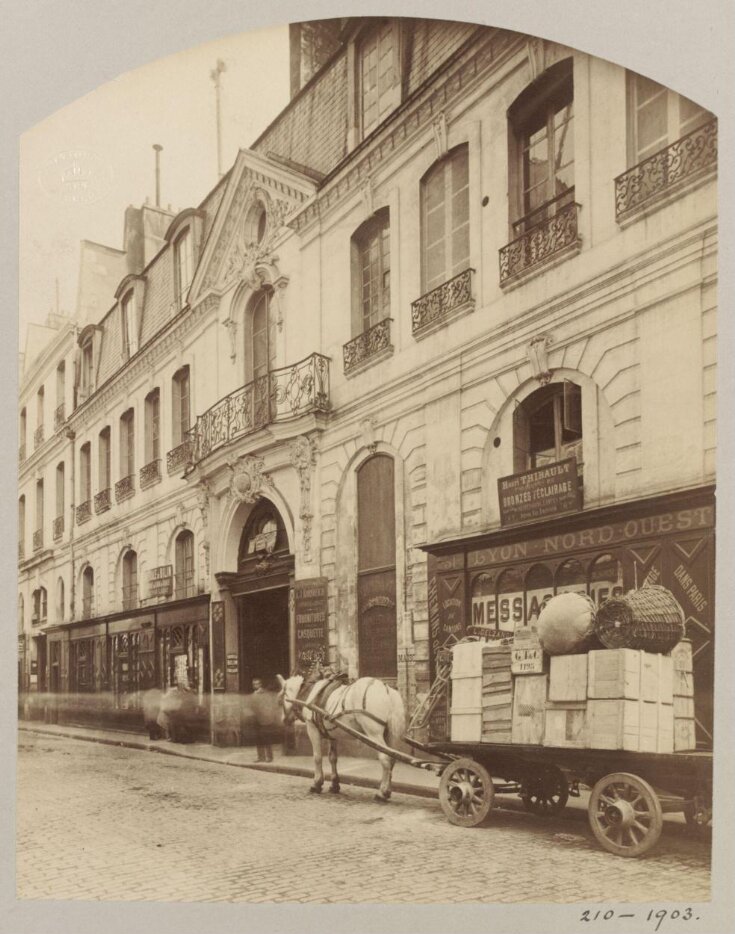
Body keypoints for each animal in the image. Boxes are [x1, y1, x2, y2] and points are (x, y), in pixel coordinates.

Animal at [278, 672, 408, 804]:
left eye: (281, 699)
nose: (284, 720)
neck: (309, 693)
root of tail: (386, 690)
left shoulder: (312, 728)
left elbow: (317, 757)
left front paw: (317, 784)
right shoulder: (332, 734)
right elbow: (332, 758)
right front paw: (334, 784)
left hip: (374, 734)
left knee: (385, 759)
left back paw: (382, 793)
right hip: (390, 735)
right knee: (392, 759)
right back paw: (387, 791)